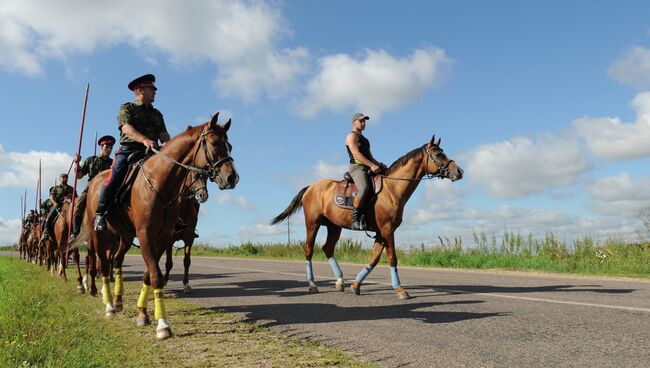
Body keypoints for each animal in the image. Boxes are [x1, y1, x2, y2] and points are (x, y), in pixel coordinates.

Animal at [69, 113, 237, 340]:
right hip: (99, 237)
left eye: (229, 145)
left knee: (117, 261)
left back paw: (119, 301)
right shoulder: (146, 235)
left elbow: (150, 273)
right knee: (101, 265)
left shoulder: (164, 237)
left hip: (125, 237)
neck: (160, 183)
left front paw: (143, 313)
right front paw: (163, 325)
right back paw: (108, 304)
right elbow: (156, 275)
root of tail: (95, 181)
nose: (232, 177)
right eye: (214, 143)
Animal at [268, 135, 460, 300]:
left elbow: (374, 259)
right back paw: (312, 285)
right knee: (309, 250)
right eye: (438, 154)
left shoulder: (382, 232)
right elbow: (392, 258)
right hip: (312, 224)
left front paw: (356, 285)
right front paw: (400, 290)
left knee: (328, 248)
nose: (459, 171)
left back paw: (340, 282)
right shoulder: (387, 229)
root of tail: (311, 187)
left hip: (334, 226)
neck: (392, 189)